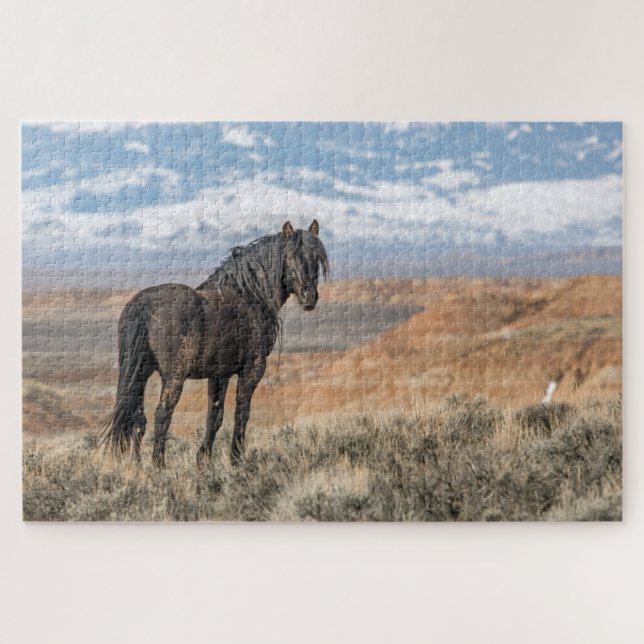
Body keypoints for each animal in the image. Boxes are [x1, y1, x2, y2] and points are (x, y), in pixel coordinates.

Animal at [103, 220, 329, 467]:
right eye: (289, 256)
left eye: (316, 257)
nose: (309, 297)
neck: (250, 295)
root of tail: (144, 304)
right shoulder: (252, 369)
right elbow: (242, 413)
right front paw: (236, 459)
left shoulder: (219, 374)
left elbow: (215, 417)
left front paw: (204, 459)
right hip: (173, 376)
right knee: (162, 414)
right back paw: (158, 465)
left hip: (141, 372)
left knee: (136, 418)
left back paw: (136, 464)